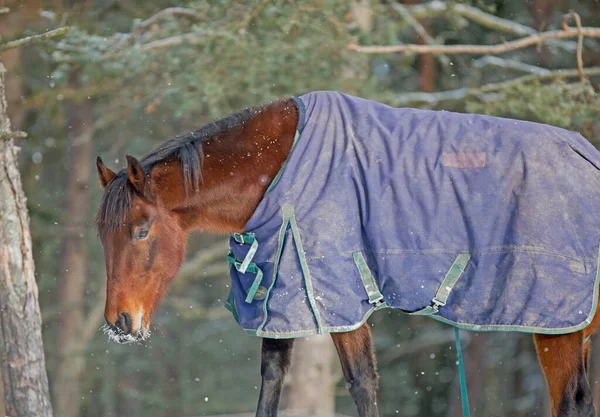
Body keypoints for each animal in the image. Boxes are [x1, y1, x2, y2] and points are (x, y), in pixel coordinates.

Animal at [96, 91, 600, 416]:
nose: (119, 323)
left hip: (558, 327)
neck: (276, 166)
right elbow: (272, 382)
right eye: (102, 236)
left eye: (141, 231)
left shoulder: (338, 301)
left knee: (569, 400)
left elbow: (361, 383)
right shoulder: (283, 296)